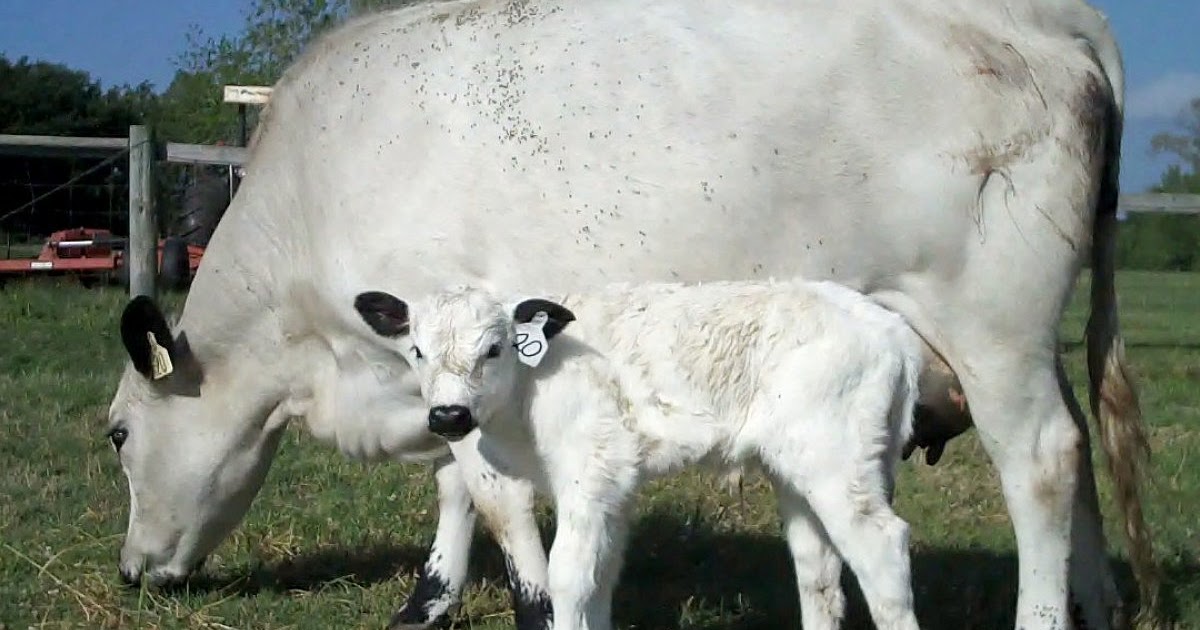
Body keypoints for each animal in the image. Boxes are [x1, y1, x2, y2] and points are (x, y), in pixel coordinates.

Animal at [351, 279, 927, 630]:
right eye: (417, 351)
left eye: (494, 349)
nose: (448, 416)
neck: (527, 393)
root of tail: (891, 329)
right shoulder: (616, 484)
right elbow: (603, 572)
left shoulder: (589, 472)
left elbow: (569, 574)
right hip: (800, 466)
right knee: (817, 566)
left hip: (836, 459)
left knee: (881, 547)